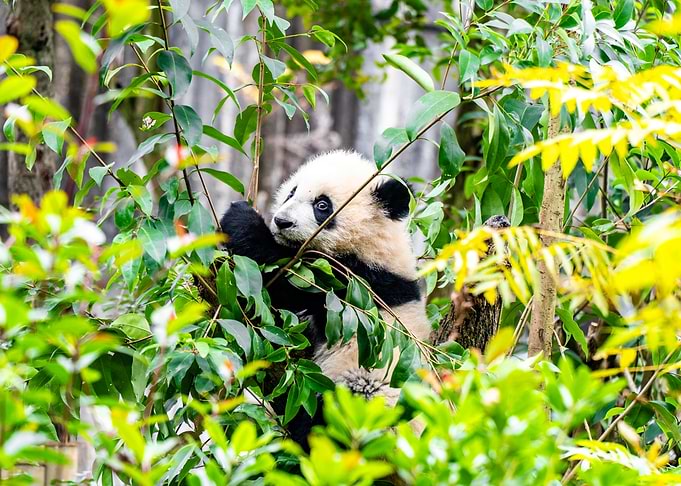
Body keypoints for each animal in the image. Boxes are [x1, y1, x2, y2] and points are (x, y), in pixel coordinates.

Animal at [219, 150, 429, 444]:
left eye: (322, 205)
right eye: (291, 192)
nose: (282, 222)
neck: (371, 242)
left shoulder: (355, 286)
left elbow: (285, 281)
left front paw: (240, 217)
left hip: (366, 398)